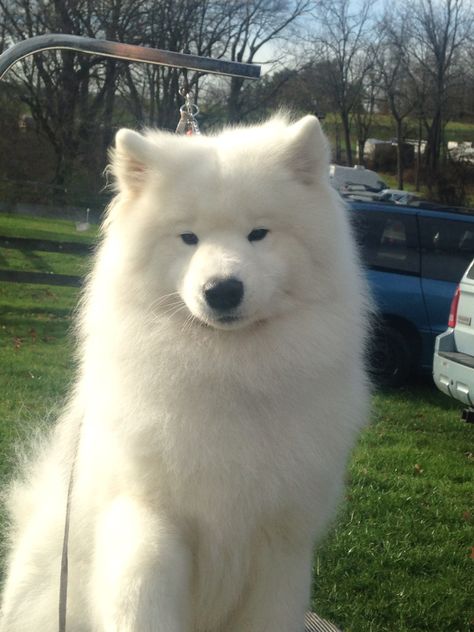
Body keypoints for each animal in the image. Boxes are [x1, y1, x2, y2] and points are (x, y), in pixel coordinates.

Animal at [0, 115, 370, 632]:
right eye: (188, 237)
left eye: (259, 233)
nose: (223, 290)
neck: (227, 372)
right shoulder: (149, 520)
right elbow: (141, 604)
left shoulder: (279, 547)